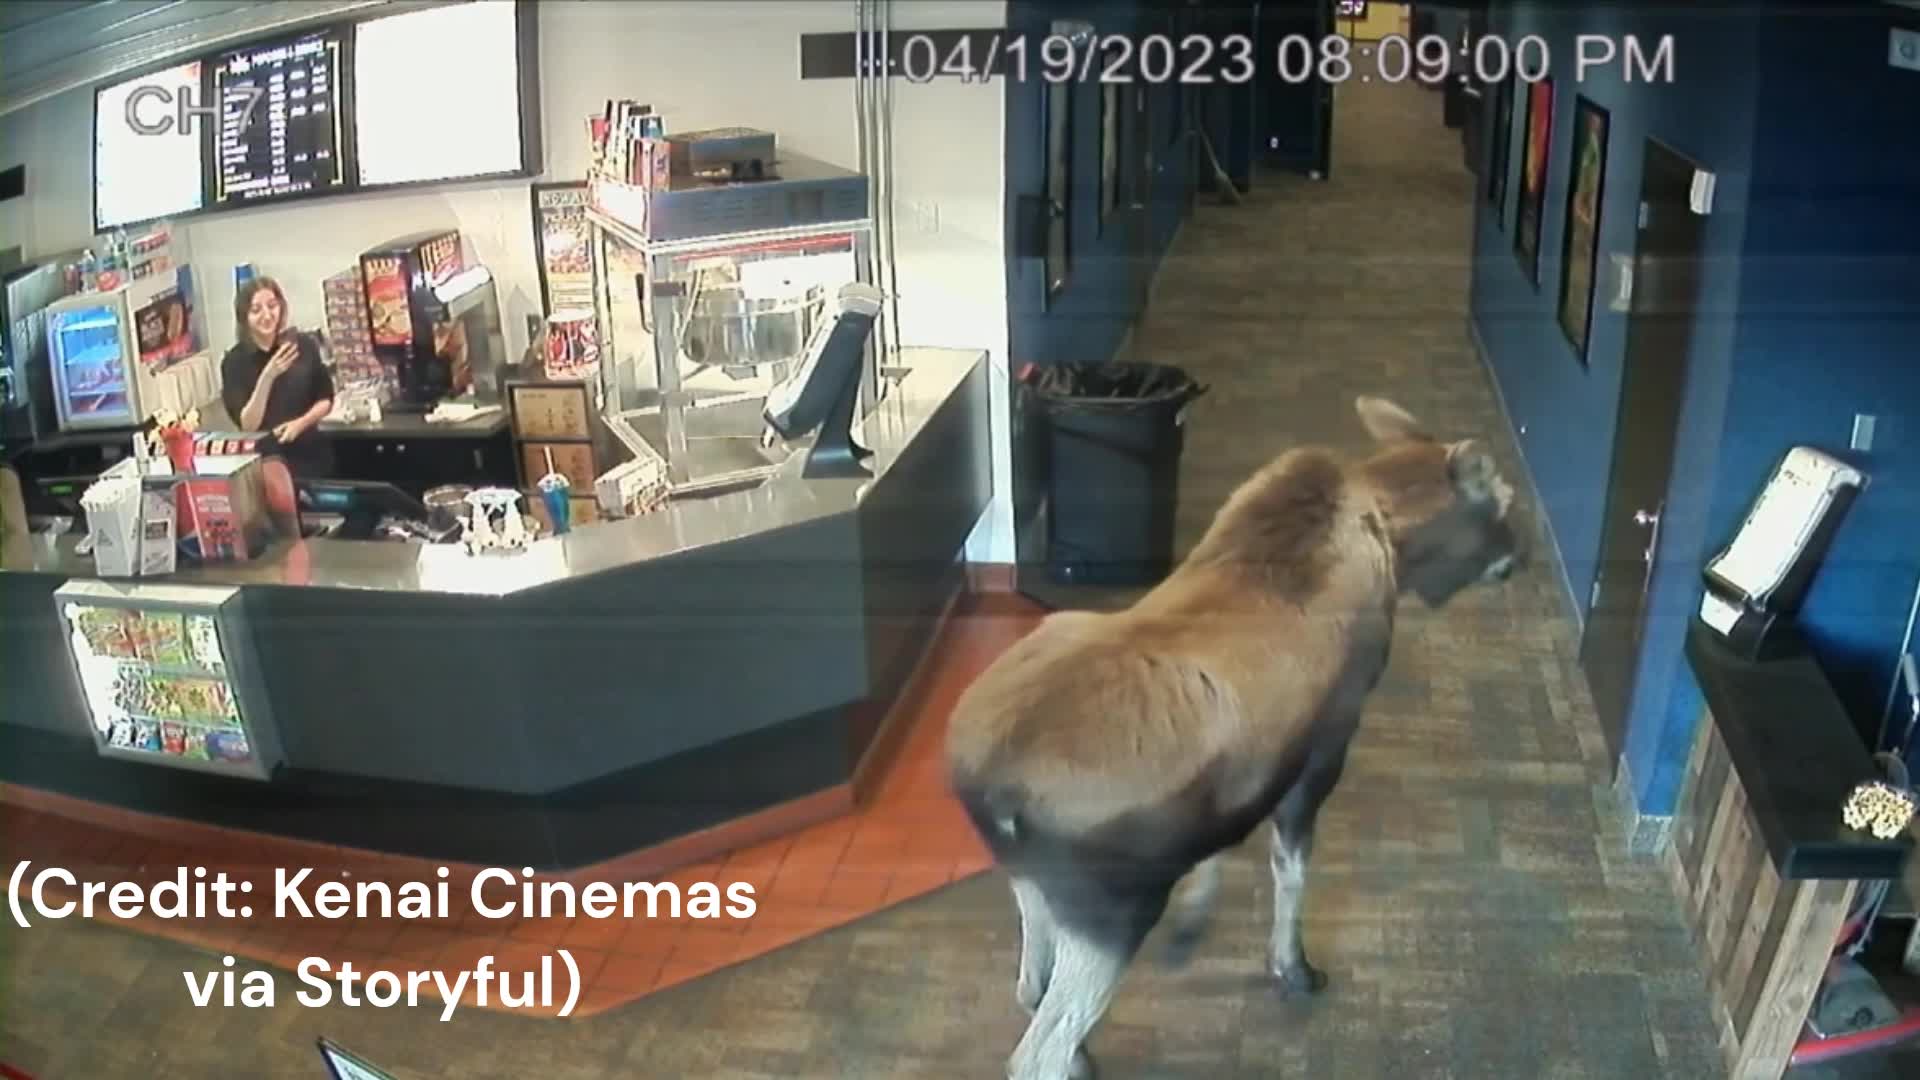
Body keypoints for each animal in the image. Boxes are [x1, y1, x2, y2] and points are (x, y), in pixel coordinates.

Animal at [946, 396, 1524, 1080]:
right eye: (1503, 501)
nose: (1519, 557)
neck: (1394, 546)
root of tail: (984, 785)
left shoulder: (1246, 774)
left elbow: (1224, 841)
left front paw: (1197, 925)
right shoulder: (1325, 750)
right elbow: (1290, 873)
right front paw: (1293, 968)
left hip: (1029, 878)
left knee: (1030, 982)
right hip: (1114, 907)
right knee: (1038, 1050)